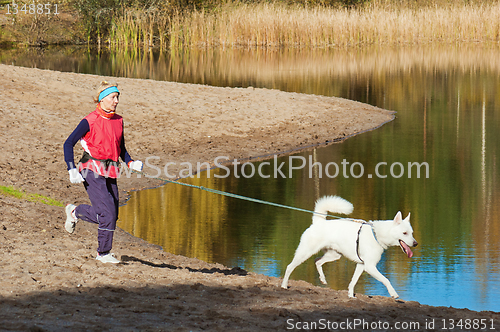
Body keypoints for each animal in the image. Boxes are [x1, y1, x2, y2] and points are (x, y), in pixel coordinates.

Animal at [282, 195, 418, 298]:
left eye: (412, 233)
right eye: (404, 233)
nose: (415, 243)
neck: (377, 234)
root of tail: (319, 222)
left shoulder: (361, 265)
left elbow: (353, 282)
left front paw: (351, 296)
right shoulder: (370, 267)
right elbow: (385, 279)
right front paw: (393, 293)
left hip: (334, 255)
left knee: (317, 261)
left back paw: (323, 279)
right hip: (305, 252)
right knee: (290, 267)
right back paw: (284, 285)